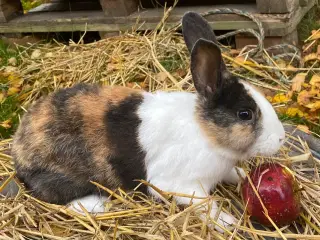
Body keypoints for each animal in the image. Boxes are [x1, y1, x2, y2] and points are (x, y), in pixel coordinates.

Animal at [8, 11, 286, 232]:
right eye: (245, 114)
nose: (282, 138)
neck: (206, 132)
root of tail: (19, 150)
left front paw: (244, 176)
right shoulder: (181, 185)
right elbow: (205, 205)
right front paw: (228, 222)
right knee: (56, 195)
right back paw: (95, 204)